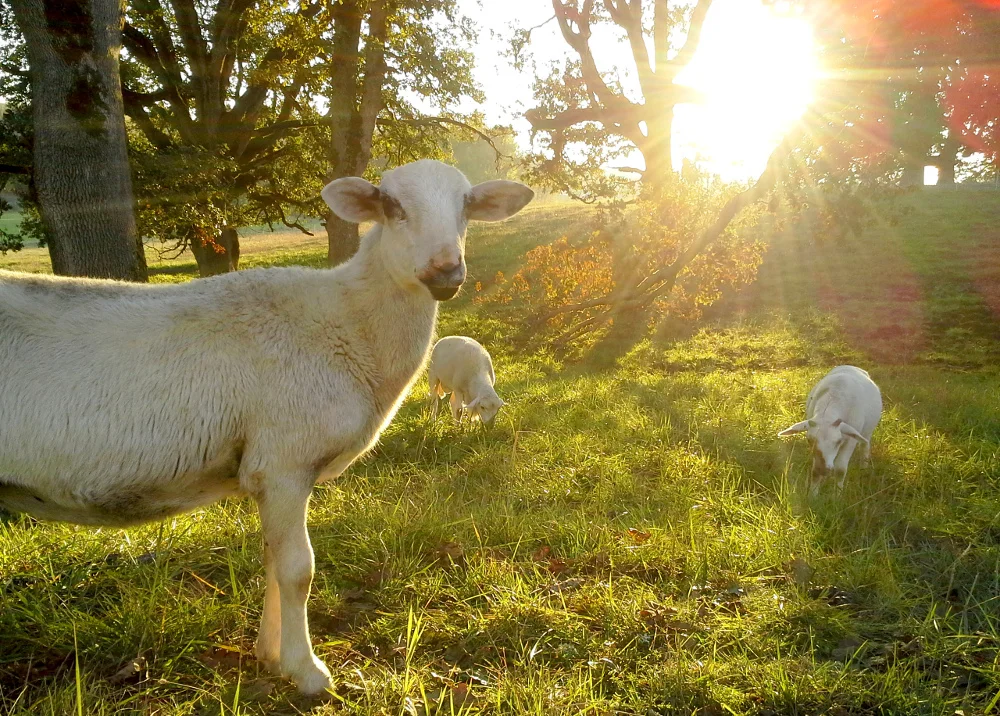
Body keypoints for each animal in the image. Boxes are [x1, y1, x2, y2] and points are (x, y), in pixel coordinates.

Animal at [0, 159, 534, 695]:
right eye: (391, 205)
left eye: (466, 206)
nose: (446, 273)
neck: (349, 322)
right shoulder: (284, 461)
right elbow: (298, 570)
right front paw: (308, 671)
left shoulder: (267, 471)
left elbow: (273, 562)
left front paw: (270, 656)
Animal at [778, 365, 883, 496]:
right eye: (809, 440)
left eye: (838, 441)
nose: (824, 469)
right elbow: (815, 471)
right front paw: (813, 495)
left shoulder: (850, 440)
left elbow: (840, 469)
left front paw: (837, 495)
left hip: (866, 432)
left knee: (865, 444)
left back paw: (864, 467)